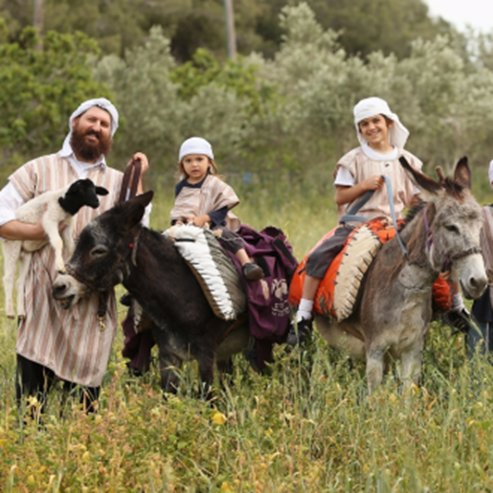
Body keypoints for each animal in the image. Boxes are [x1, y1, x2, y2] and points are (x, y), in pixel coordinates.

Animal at [3, 179, 107, 318]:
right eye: (81, 190)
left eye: (95, 189)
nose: (97, 202)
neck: (64, 204)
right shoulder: (50, 220)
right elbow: (58, 242)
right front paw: (60, 267)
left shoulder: (67, 226)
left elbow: (71, 246)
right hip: (12, 245)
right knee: (8, 278)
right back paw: (10, 311)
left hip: (26, 255)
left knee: (20, 281)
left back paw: (21, 312)